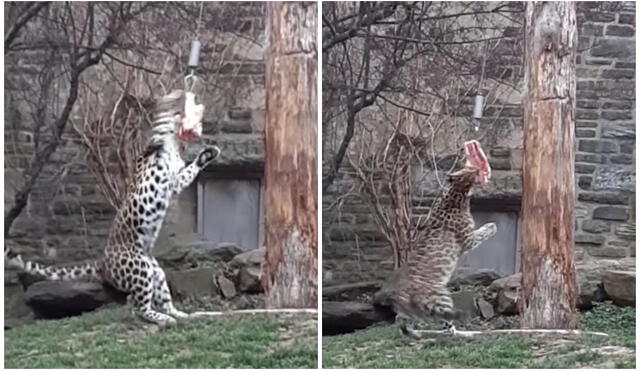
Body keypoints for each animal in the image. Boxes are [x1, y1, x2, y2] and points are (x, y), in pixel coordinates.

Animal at [5, 89, 221, 326]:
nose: (196, 105)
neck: (172, 144)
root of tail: (103, 263)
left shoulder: (175, 181)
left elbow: (189, 170)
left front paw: (208, 153)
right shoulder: (161, 166)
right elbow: (161, 123)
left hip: (155, 271)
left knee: (154, 301)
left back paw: (181, 315)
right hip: (140, 270)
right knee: (138, 307)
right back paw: (164, 319)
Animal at [392, 140, 498, 338]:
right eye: (469, 170)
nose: (477, 168)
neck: (456, 194)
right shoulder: (468, 239)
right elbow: (482, 233)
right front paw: (492, 226)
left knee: (402, 319)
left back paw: (414, 333)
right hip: (441, 300)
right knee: (446, 322)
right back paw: (462, 333)